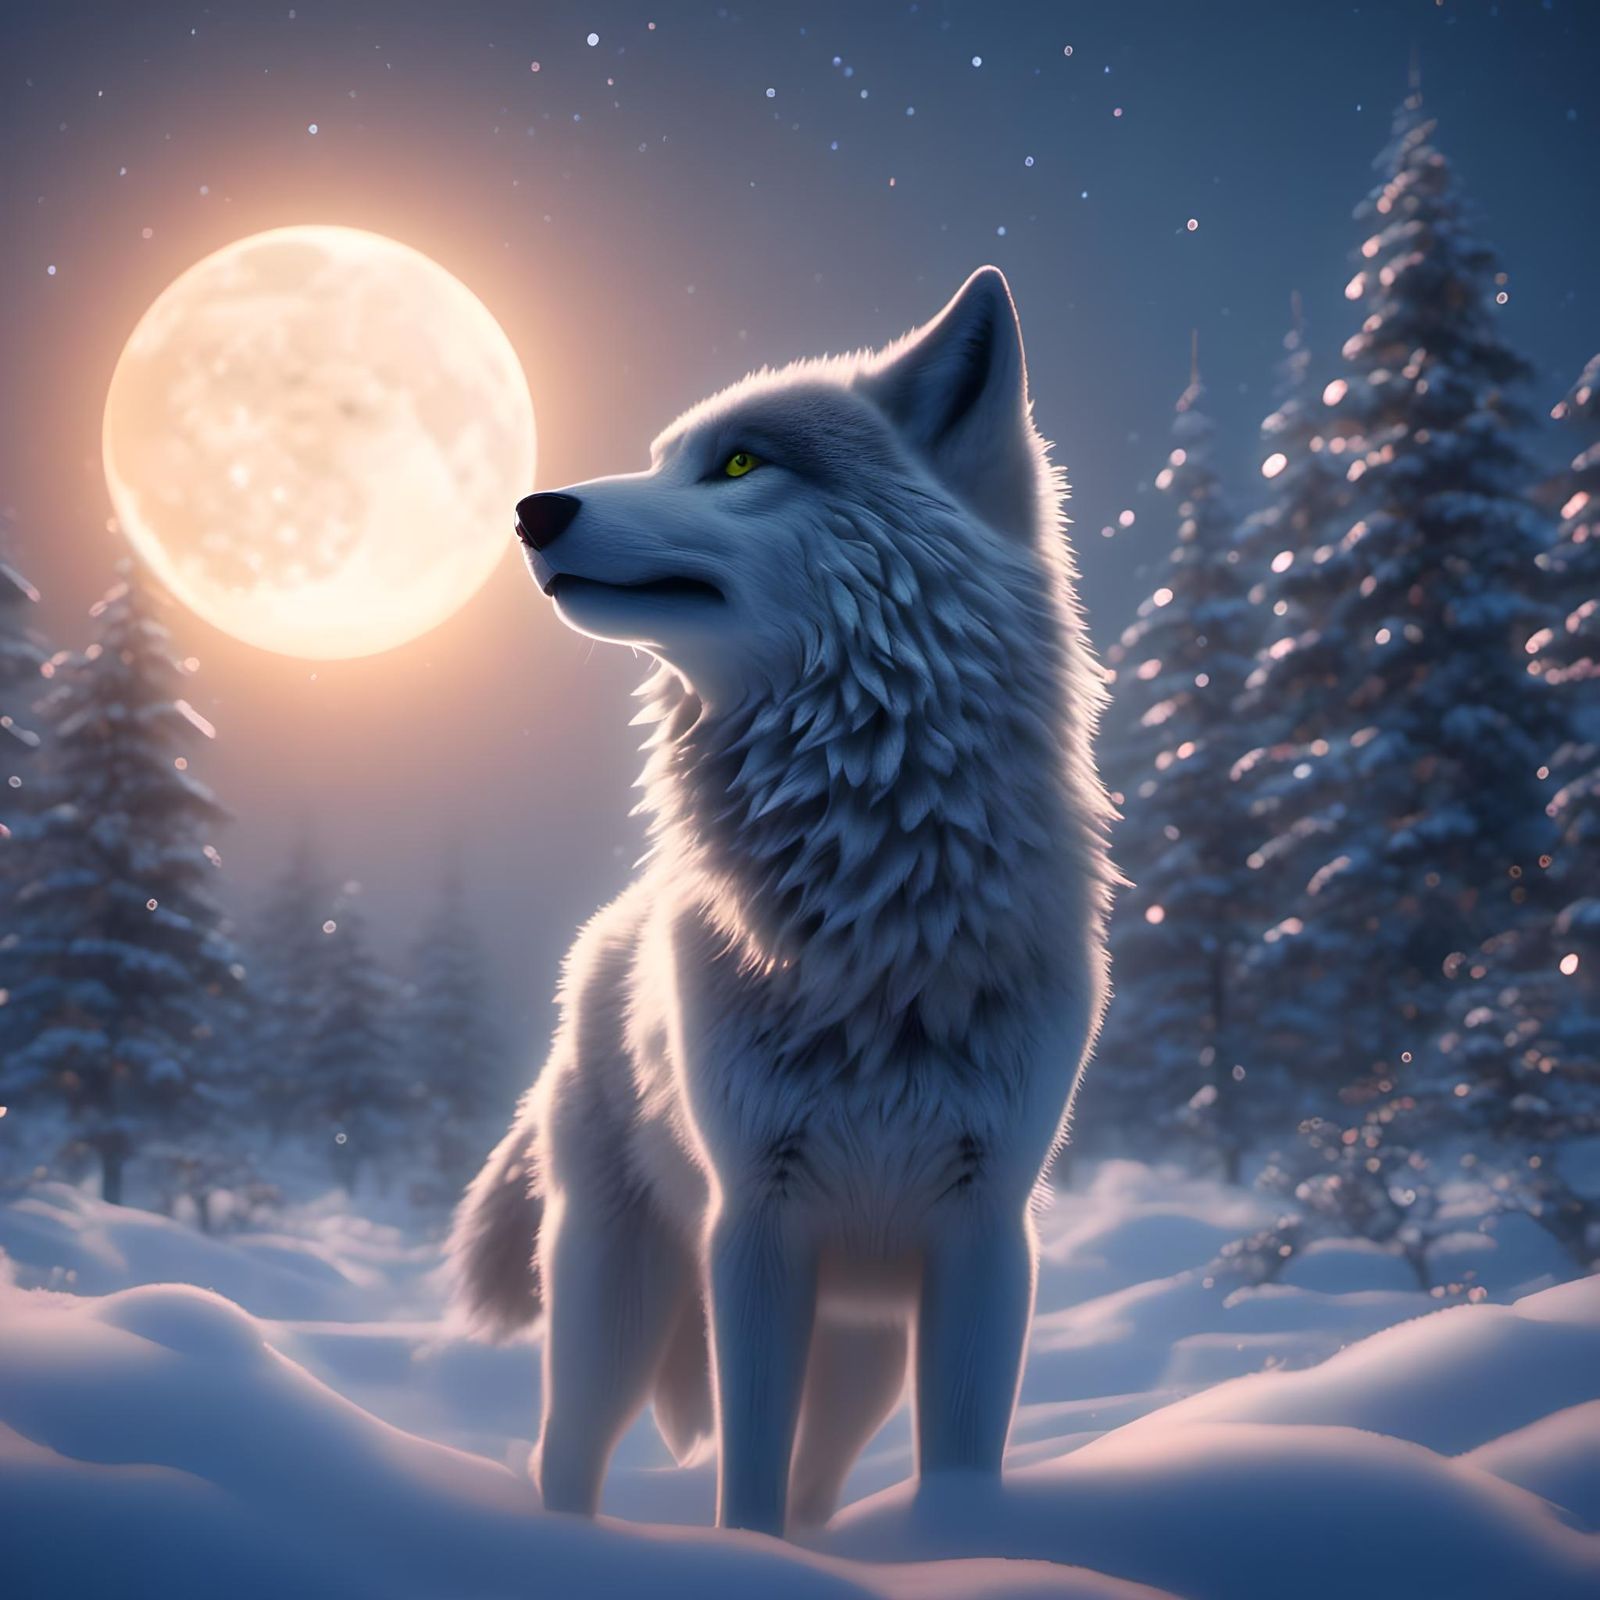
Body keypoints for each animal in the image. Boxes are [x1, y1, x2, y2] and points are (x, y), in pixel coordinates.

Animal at [451, 266, 1115, 1537]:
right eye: (665, 458)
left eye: (740, 463)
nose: (530, 509)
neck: (875, 903)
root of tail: (597, 941)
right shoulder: (753, 1228)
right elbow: (745, 1484)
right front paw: (745, 1558)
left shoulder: (984, 1234)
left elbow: (954, 1462)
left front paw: (958, 1545)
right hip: (616, 1303)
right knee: (563, 1457)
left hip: (860, 1351)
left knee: (816, 1480)